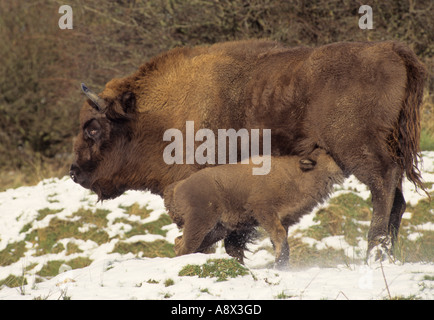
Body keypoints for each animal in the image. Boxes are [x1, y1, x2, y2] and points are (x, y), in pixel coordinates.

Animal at [164, 149, 344, 268]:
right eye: (325, 156)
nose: (341, 167)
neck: (297, 174)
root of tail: (177, 187)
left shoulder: (282, 219)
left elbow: (280, 238)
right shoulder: (264, 211)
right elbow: (279, 236)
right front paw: (278, 264)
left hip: (217, 230)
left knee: (181, 242)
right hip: (200, 224)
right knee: (185, 246)